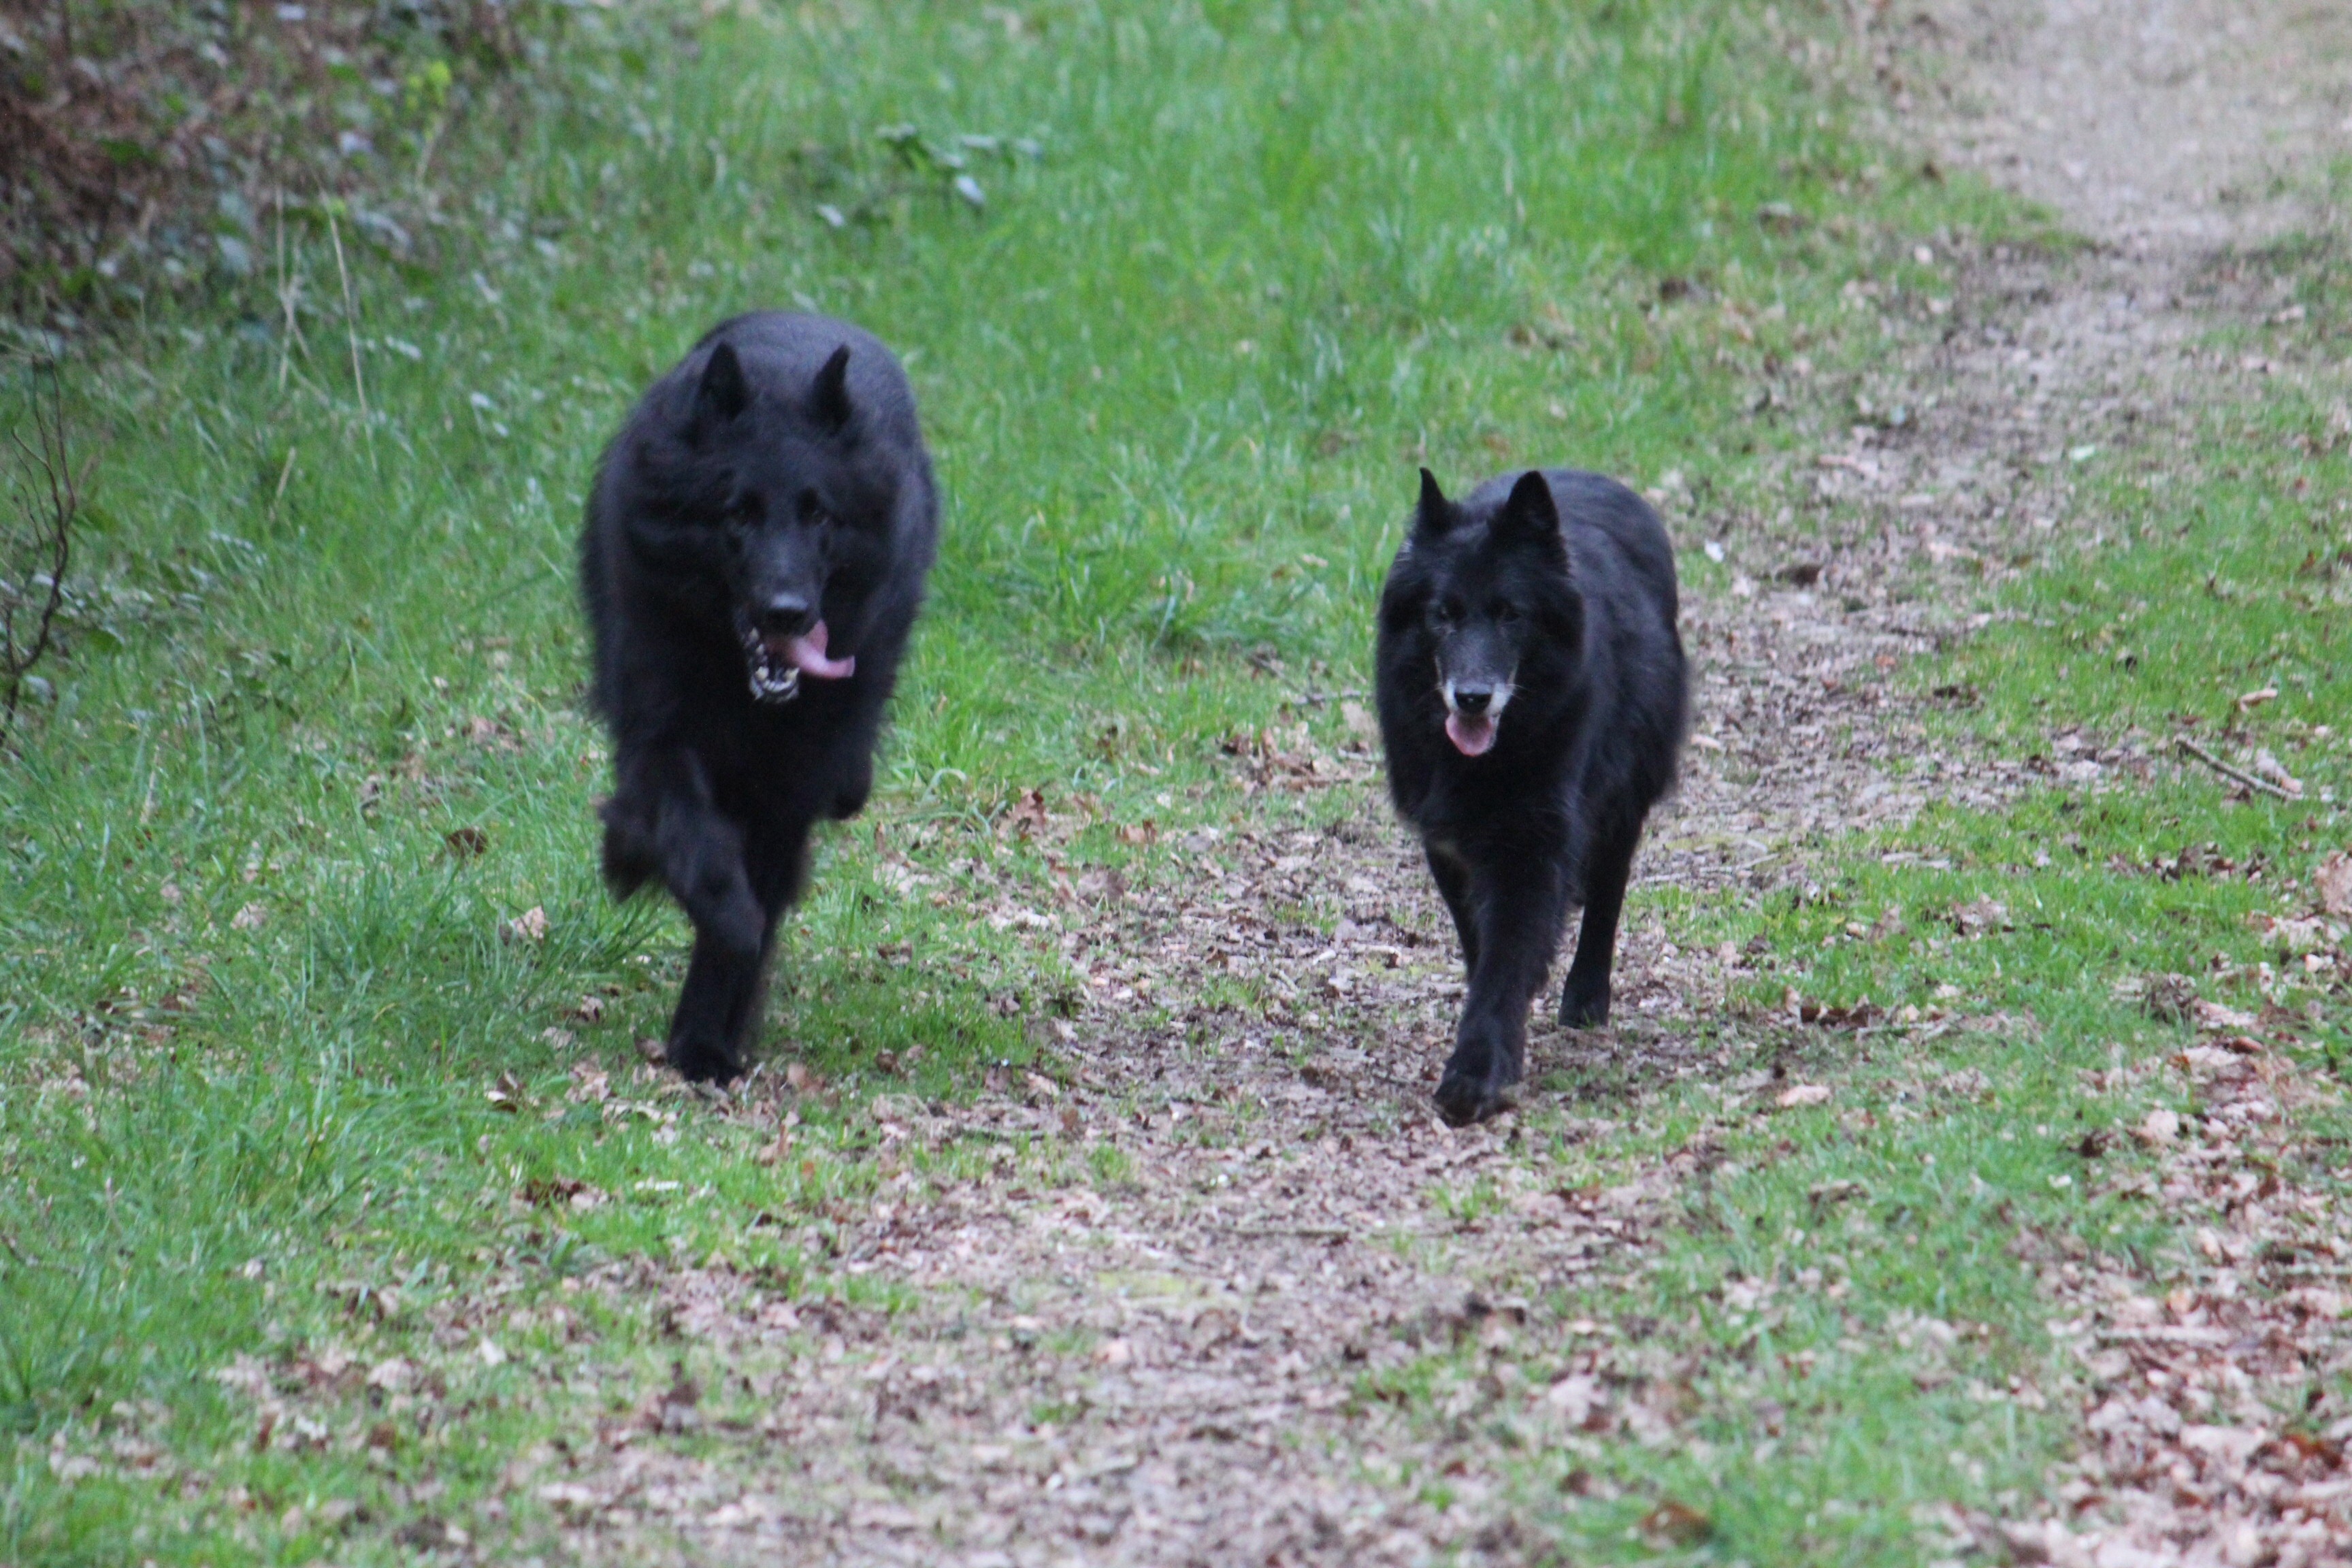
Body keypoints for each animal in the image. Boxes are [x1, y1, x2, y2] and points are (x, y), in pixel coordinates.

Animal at [578, 312, 936, 1085]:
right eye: (737, 512)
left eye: (819, 515)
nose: (788, 613)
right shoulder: (658, 727)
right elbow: (683, 825)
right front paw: (711, 903)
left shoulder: (788, 786)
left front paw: (704, 1037)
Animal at [1373, 465, 1693, 1128]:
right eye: (1443, 614)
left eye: (1510, 615)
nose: (1472, 698)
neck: (1486, 762)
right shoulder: (1447, 843)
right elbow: (1482, 945)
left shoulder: (1535, 844)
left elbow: (1509, 952)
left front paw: (1476, 1072)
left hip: (1623, 798)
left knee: (1607, 893)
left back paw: (1586, 996)